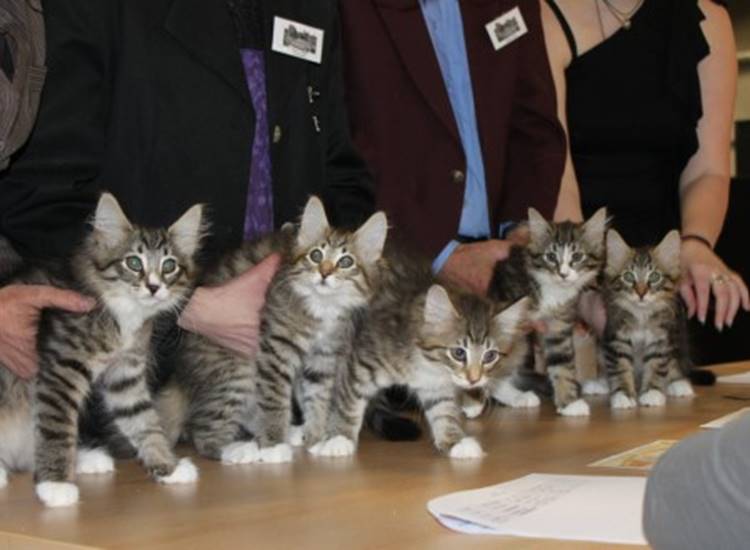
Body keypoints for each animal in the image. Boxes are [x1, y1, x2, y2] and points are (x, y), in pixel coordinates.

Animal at [0, 193, 204, 508]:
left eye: (169, 266)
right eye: (133, 263)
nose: (154, 287)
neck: (124, 313)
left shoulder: (126, 374)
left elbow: (145, 422)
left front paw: (167, 467)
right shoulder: (61, 370)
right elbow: (57, 428)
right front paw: (55, 485)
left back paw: (87, 458)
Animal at [159, 197, 394, 466]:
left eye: (346, 262)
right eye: (316, 255)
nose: (324, 273)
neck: (322, 306)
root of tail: (181, 371)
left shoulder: (323, 354)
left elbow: (318, 398)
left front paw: (317, 437)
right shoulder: (276, 347)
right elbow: (274, 399)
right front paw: (273, 445)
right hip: (236, 368)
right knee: (201, 430)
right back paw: (237, 449)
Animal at [308, 251, 532, 462]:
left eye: (490, 356)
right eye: (459, 353)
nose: (474, 379)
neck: (427, 364)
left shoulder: (435, 386)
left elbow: (443, 411)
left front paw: (454, 441)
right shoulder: (359, 362)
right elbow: (348, 403)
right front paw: (339, 439)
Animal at [488, 210, 612, 418]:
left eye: (577, 256)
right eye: (551, 256)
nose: (563, 274)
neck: (551, 290)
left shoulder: (559, 325)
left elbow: (562, 364)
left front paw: (569, 403)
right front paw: (509, 395)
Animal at [596, 230, 696, 410]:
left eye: (655, 276)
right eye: (629, 276)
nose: (641, 292)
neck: (641, 315)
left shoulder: (661, 340)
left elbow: (656, 366)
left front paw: (652, 393)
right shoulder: (615, 338)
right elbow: (619, 367)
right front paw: (622, 395)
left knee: (673, 363)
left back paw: (678, 383)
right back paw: (600, 384)